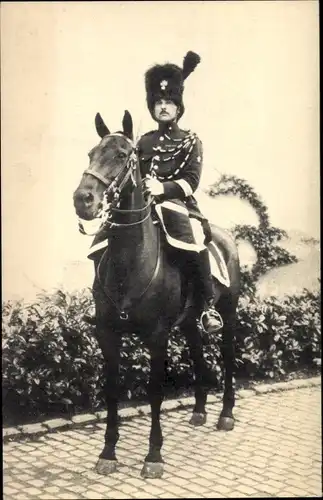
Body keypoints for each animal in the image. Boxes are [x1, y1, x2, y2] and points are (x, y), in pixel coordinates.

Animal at [73, 111, 240, 478]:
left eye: (122, 155)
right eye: (90, 153)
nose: (83, 199)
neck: (131, 262)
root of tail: (226, 237)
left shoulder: (156, 335)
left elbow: (154, 393)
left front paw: (153, 455)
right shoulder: (108, 333)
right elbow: (111, 388)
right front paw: (108, 452)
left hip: (229, 314)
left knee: (228, 357)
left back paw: (225, 414)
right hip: (190, 321)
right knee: (198, 353)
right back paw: (199, 410)